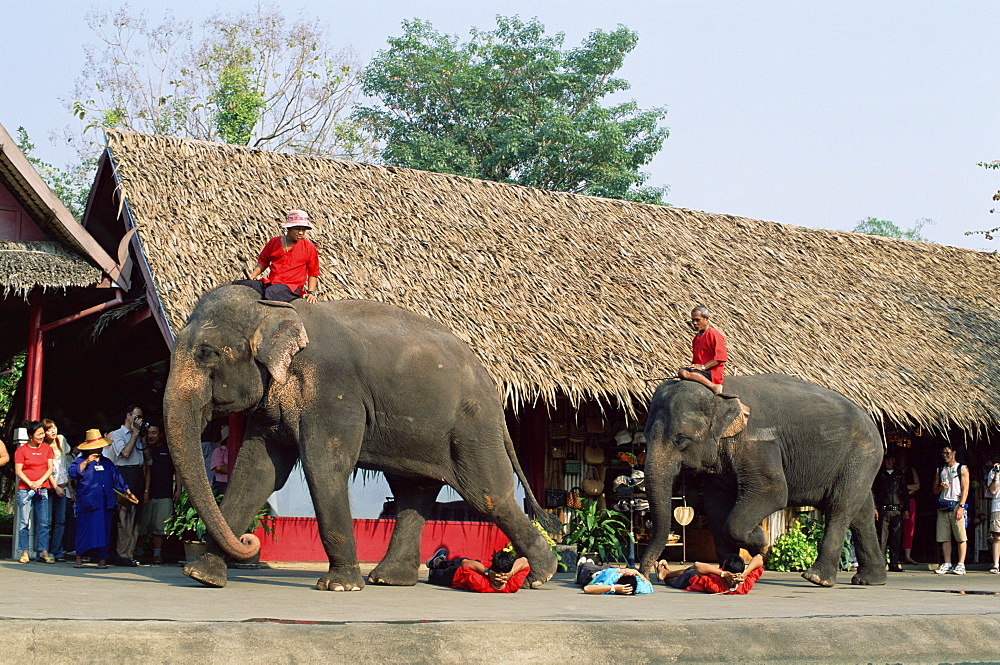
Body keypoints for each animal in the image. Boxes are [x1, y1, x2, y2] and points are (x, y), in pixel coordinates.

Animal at [160, 286, 560, 592]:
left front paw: (339, 587)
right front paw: (203, 577)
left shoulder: (333, 391)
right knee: (413, 491)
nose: (249, 540)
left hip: (473, 425)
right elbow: (258, 473)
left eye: (206, 352)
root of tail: (492, 384)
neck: (271, 311)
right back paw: (389, 580)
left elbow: (324, 467)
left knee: (488, 495)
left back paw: (541, 575)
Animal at [636, 374, 888, 588]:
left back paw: (817, 578)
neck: (720, 396)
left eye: (681, 439)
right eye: (645, 435)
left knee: (839, 507)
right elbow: (715, 504)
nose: (644, 575)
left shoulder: (758, 444)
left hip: (862, 455)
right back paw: (869, 580)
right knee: (862, 513)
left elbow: (773, 492)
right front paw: (729, 567)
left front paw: (761, 543)